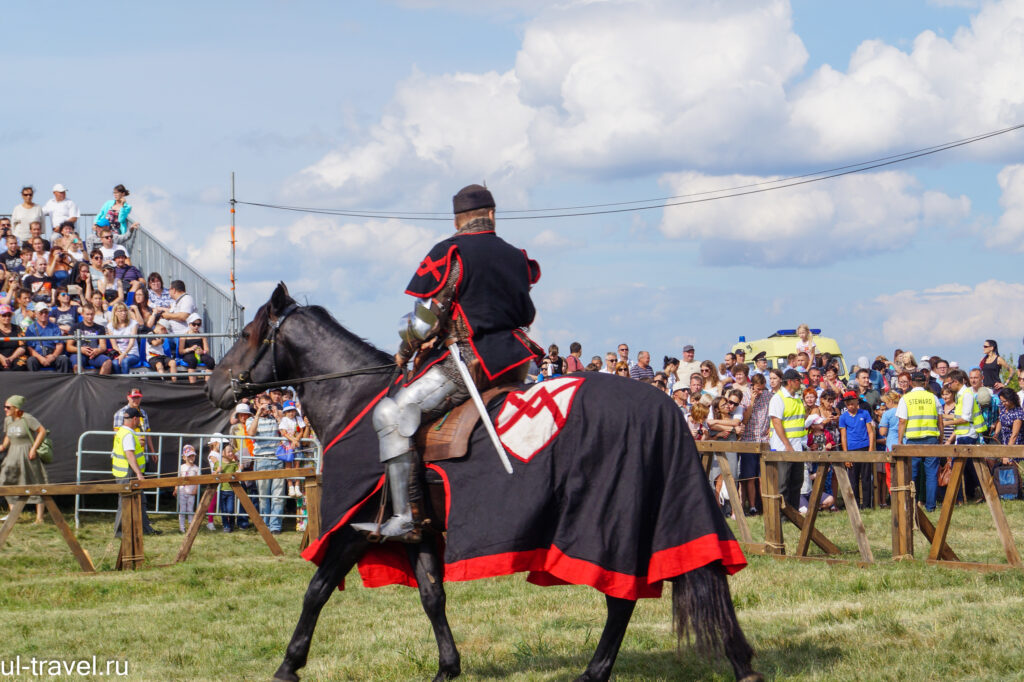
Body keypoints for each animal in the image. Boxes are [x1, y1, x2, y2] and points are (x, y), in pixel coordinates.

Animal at [203, 282, 761, 679]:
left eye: (248, 336)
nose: (212, 388)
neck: (353, 401)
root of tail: (664, 407)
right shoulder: (417, 527)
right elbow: (432, 595)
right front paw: (447, 668)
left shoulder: (357, 526)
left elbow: (317, 589)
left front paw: (288, 665)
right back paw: (737, 662)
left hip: (605, 525)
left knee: (619, 596)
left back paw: (597, 672)